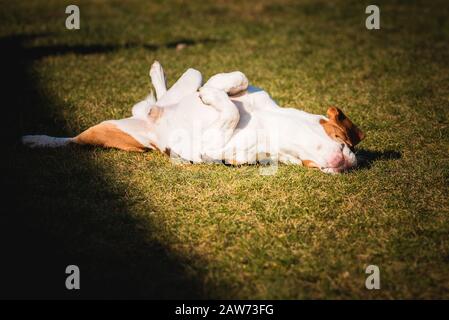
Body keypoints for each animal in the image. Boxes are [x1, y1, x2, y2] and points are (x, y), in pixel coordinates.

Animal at [21, 61, 364, 174]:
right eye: (345, 142)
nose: (348, 163)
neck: (270, 121)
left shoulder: (213, 148)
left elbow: (226, 110)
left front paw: (213, 95)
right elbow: (234, 80)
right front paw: (220, 89)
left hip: (118, 131)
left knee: (72, 141)